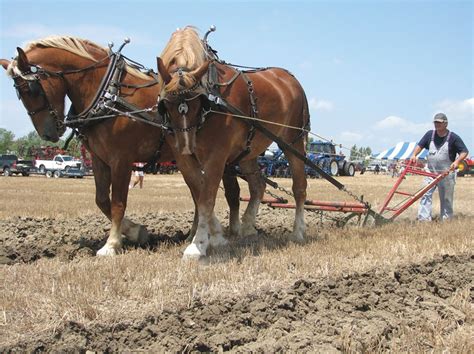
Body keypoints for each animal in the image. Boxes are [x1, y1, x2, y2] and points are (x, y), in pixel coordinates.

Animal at [0, 36, 237, 256]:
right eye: (19, 94)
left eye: (32, 89)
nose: (48, 133)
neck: (107, 93)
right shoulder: (99, 159)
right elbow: (102, 199)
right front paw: (136, 232)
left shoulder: (121, 159)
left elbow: (118, 202)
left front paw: (112, 244)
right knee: (200, 192)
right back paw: (194, 234)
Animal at [156, 27, 312, 258]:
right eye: (166, 105)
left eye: (198, 104)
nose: (186, 146)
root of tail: (291, 79)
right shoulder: (184, 160)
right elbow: (199, 192)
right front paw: (217, 236)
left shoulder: (217, 156)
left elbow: (207, 197)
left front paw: (198, 245)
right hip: (249, 151)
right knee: (258, 185)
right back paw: (247, 226)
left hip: (293, 142)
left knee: (299, 186)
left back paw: (298, 232)